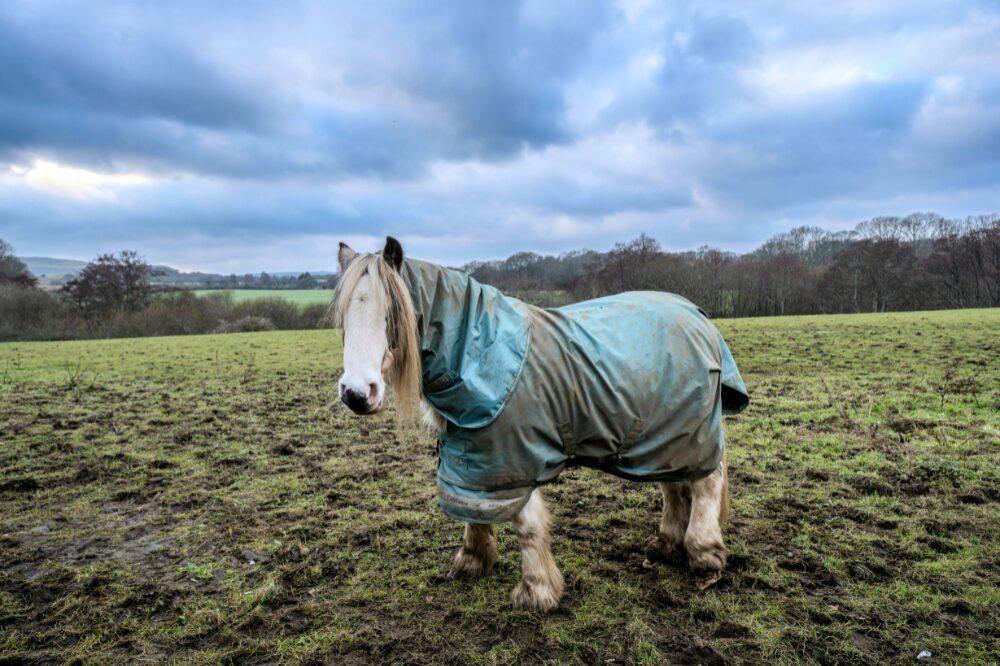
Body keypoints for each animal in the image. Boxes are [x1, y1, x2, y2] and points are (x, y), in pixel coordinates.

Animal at [332, 236, 749, 612]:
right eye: (344, 319)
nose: (356, 393)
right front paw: (473, 560)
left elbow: (527, 524)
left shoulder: (514, 457)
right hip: (664, 434)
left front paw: (536, 591)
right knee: (674, 485)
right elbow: (472, 508)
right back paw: (665, 545)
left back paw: (704, 554)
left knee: (706, 482)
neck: (480, 354)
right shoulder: (473, 455)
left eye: (392, 313)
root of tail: (698, 315)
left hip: (691, 431)